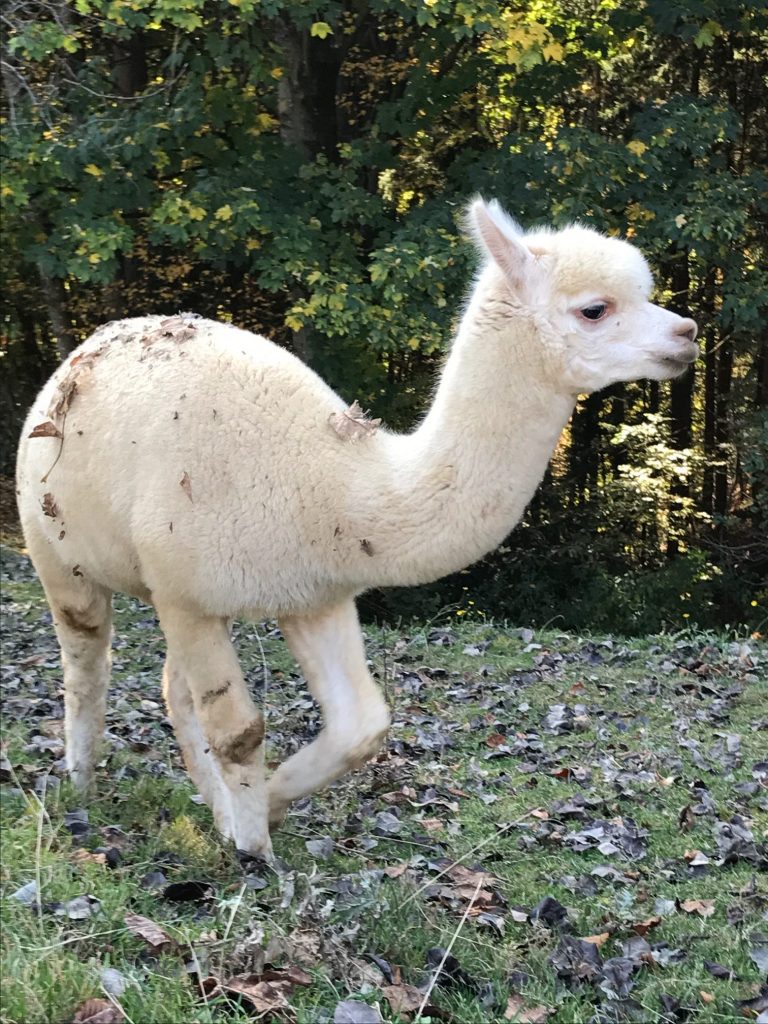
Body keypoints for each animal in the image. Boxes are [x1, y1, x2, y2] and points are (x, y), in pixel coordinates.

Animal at [16, 199, 698, 860]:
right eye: (595, 309)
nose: (687, 334)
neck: (337, 482)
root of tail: (83, 352)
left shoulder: (314, 593)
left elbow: (361, 725)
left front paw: (264, 807)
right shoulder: (189, 592)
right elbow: (239, 732)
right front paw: (256, 852)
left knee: (172, 689)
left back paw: (214, 808)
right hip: (58, 548)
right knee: (87, 660)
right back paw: (82, 782)